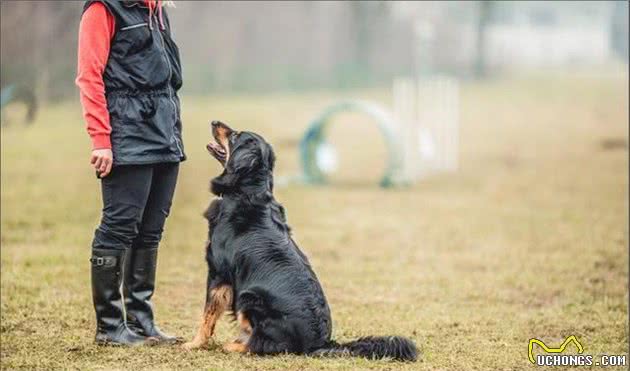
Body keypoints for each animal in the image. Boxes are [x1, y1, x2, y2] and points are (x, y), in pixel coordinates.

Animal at [183, 122, 420, 364]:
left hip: (249, 298)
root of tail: (321, 343)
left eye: (235, 135)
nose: (214, 122)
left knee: (265, 345)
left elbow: (207, 315)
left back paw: (234, 345)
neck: (246, 191)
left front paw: (194, 344)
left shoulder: (218, 273)